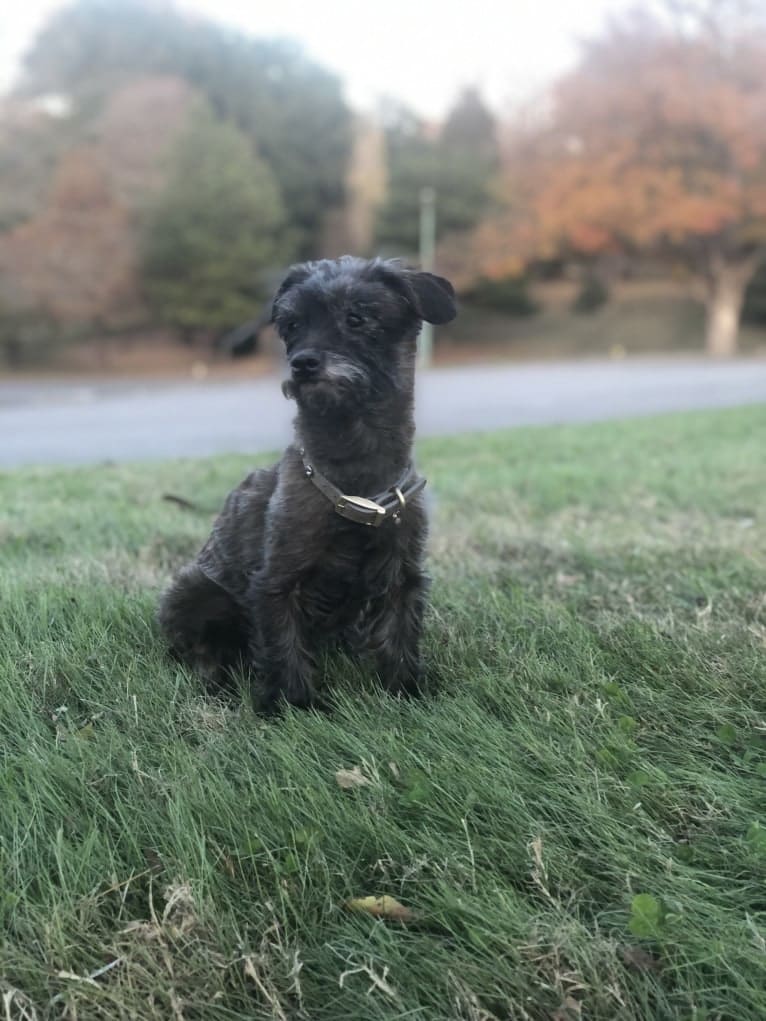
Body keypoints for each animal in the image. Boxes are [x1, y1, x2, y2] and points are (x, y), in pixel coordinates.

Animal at [156, 257, 455, 710]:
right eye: (292, 325)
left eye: (356, 318)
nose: (303, 363)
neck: (355, 481)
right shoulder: (278, 581)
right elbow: (283, 644)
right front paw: (293, 706)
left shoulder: (402, 573)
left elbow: (399, 633)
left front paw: (406, 690)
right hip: (197, 593)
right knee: (208, 648)